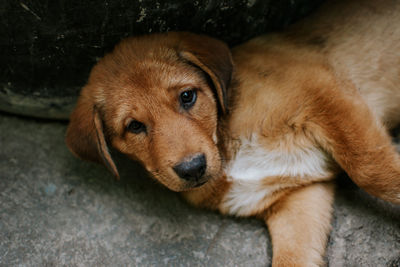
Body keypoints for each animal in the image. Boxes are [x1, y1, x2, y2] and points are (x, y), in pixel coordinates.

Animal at [65, 0, 400, 266]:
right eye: (134, 126)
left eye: (187, 96)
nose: (193, 169)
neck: (226, 142)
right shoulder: (295, 197)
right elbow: (293, 258)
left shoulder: (322, 92)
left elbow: (372, 169)